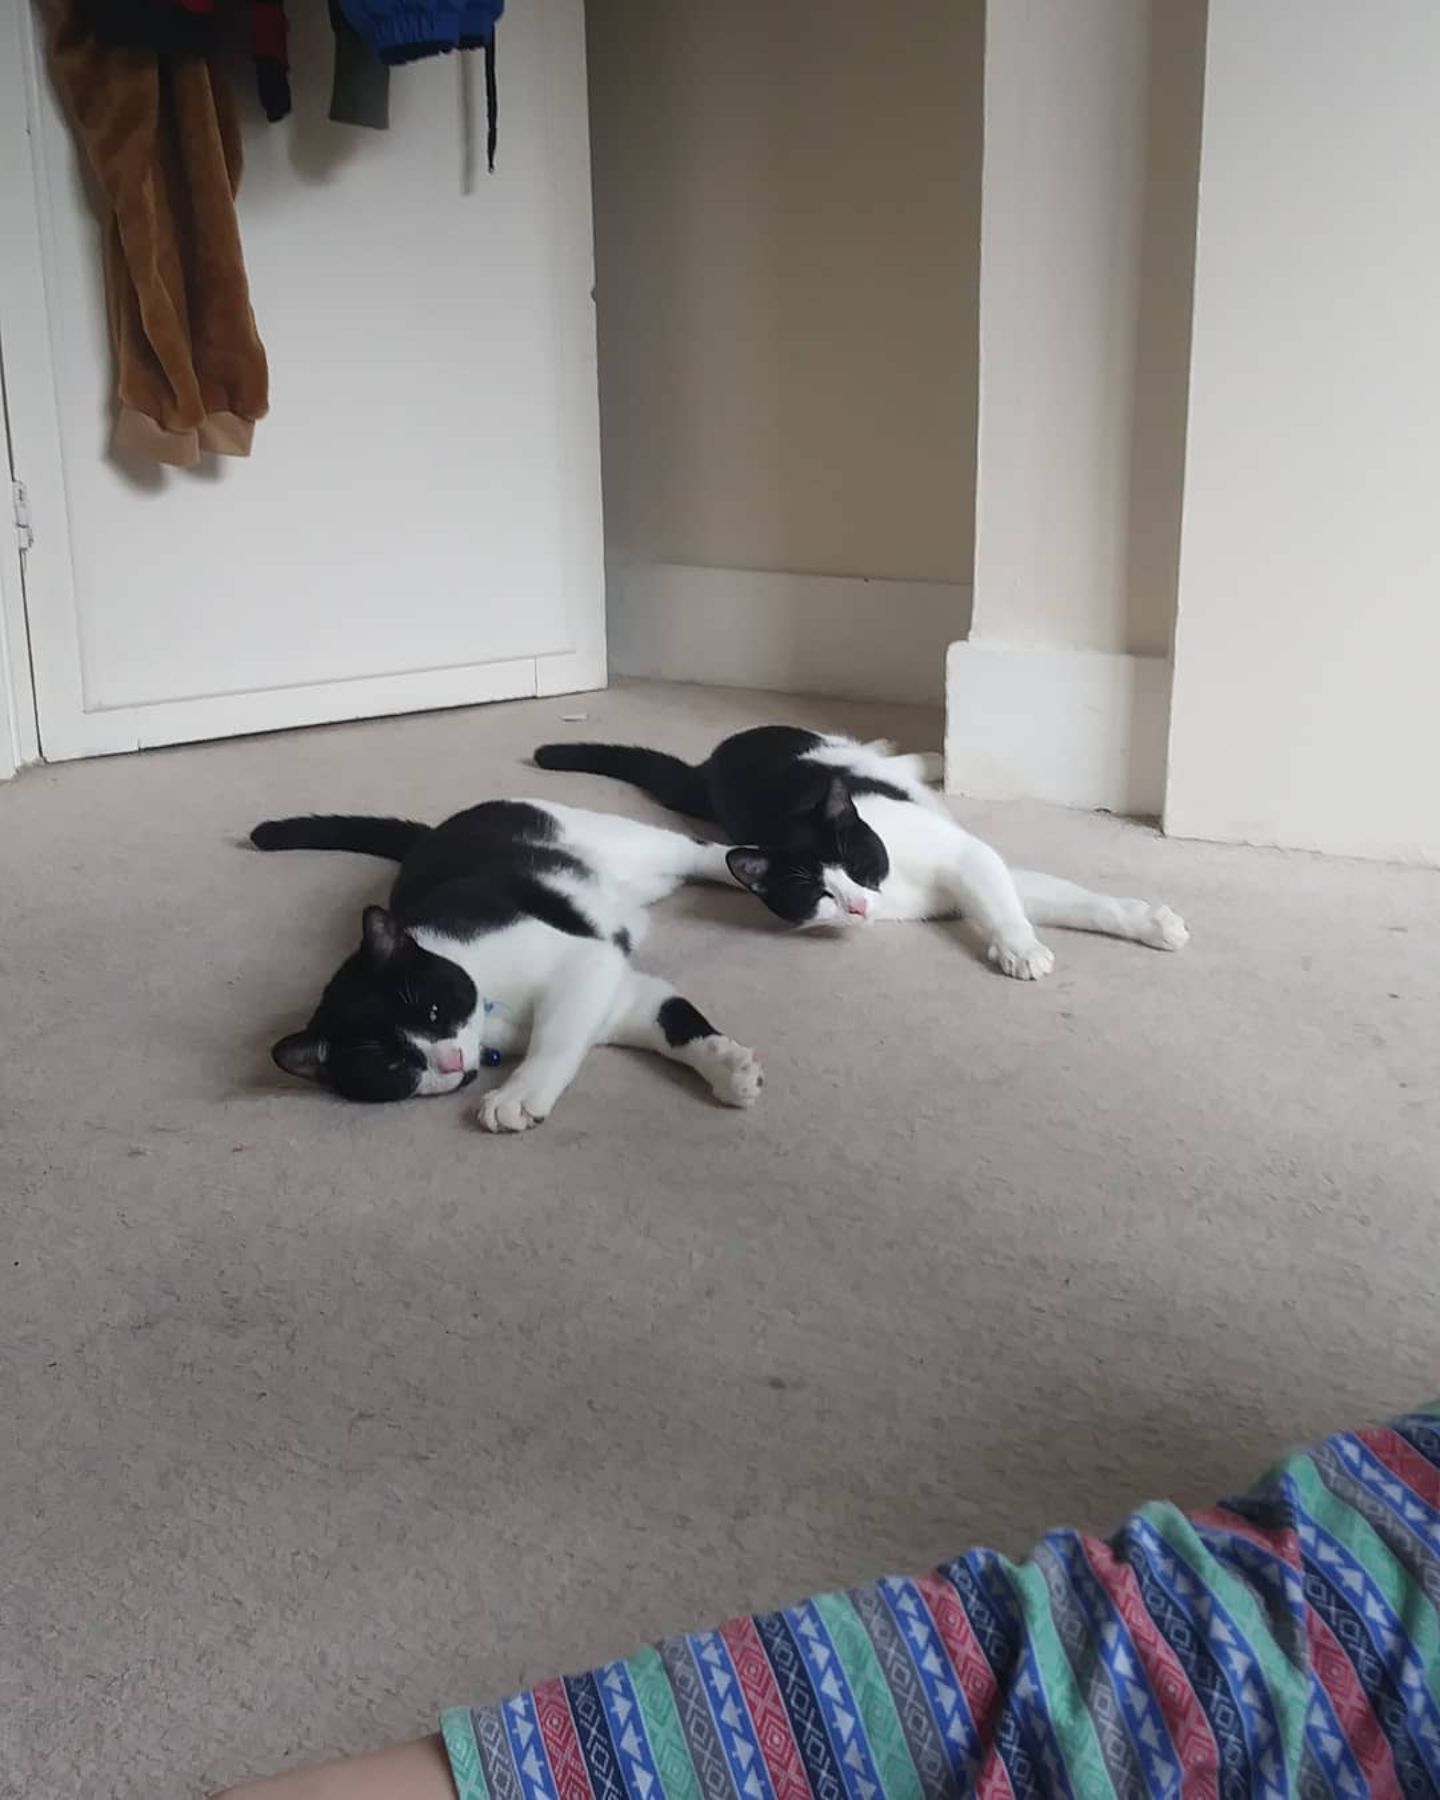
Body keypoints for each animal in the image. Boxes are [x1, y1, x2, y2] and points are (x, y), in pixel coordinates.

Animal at [253, 799, 763, 1123]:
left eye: (433, 1010)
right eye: (394, 1065)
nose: (451, 1060)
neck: (491, 1009)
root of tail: (438, 830)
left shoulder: (585, 961)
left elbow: (555, 1036)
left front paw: (519, 1094)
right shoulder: (616, 997)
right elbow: (673, 1024)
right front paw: (728, 1067)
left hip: (628, 845)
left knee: (697, 850)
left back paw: (751, 867)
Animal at [532, 723, 1188, 979]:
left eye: (853, 865)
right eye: (818, 894)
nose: (855, 905)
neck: (899, 883)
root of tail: (713, 761)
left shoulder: (970, 858)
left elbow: (1055, 900)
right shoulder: (968, 878)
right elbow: (1018, 901)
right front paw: (1023, 946)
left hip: (833, 750)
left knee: (876, 751)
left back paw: (932, 758)